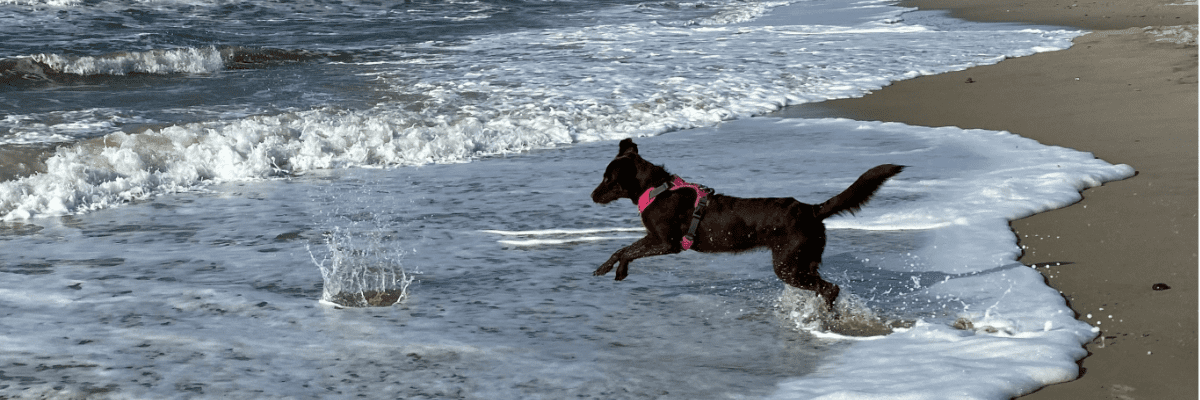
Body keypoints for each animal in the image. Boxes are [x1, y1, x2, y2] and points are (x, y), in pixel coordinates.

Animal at [590, 136, 902, 305]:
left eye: (608, 179)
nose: (592, 195)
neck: (657, 189)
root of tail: (810, 210)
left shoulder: (666, 242)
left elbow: (626, 251)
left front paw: (614, 270)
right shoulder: (655, 239)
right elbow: (623, 249)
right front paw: (610, 269)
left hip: (788, 265)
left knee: (830, 288)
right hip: (803, 261)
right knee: (825, 286)